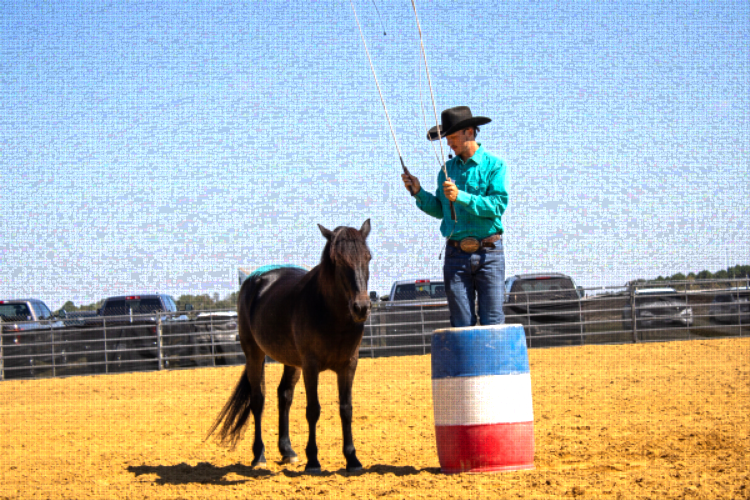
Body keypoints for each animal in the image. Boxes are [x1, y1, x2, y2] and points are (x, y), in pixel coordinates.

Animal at [206, 219, 372, 473]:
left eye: (368, 257)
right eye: (338, 260)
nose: (361, 307)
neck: (332, 315)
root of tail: (255, 280)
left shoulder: (348, 365)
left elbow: (346, 409)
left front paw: (352, 459)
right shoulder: (311, 366)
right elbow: (313, 410)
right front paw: (313, 461)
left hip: (291, 362)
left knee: (284, 395)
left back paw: (288, 451)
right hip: (254, 354)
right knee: (258, 401)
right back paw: (259, 456)